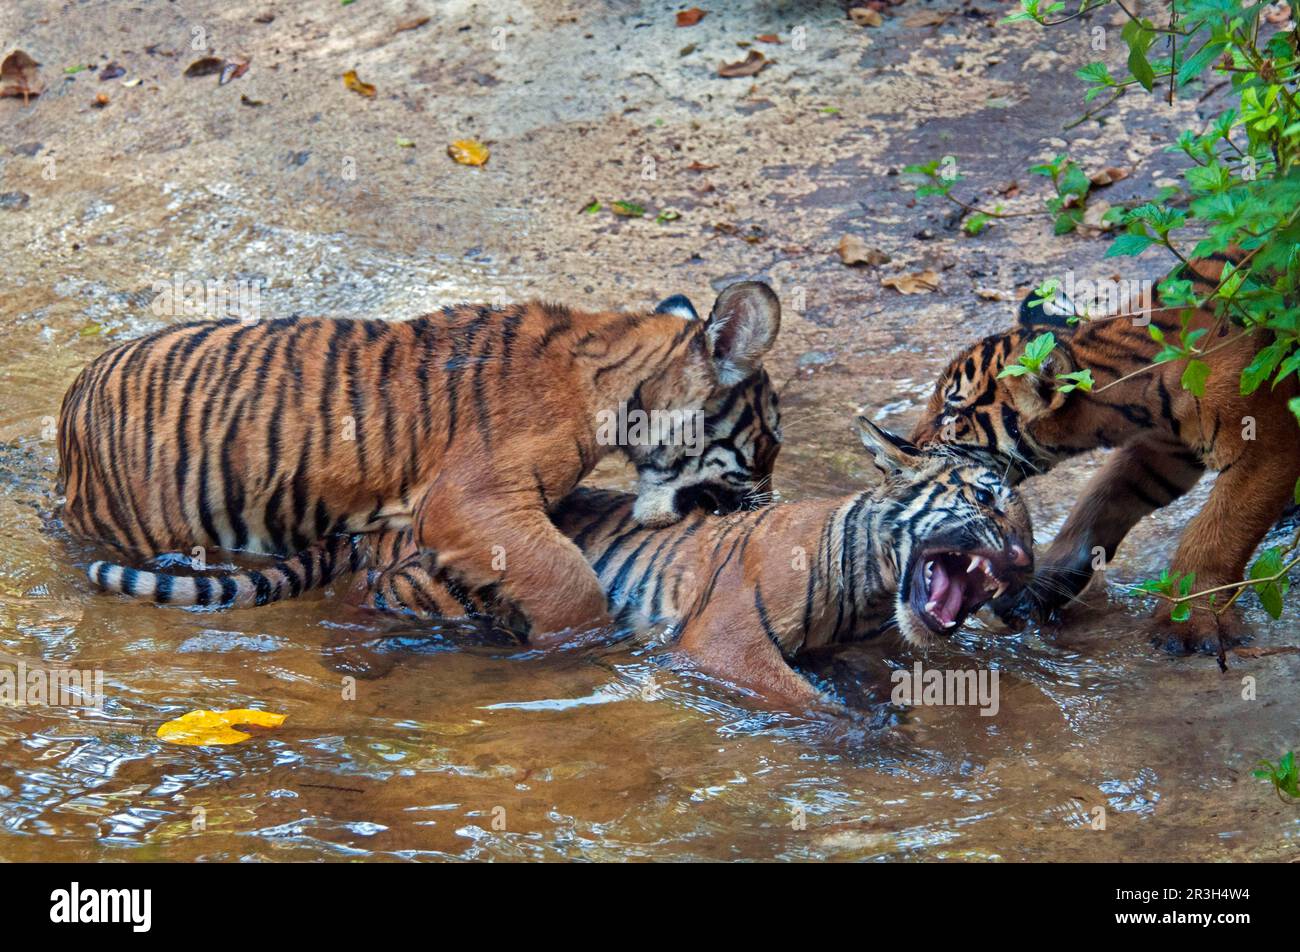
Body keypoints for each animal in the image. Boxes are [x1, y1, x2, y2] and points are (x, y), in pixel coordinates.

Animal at [55, 282, 774, 639]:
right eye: (770, 441)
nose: (768, 504)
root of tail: (74, 397)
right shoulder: (471, 502)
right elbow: (569, 584)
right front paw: (579, 649)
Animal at [91, 416, 1029, 712]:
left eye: (1020, 507)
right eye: (988, 499)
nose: (1021, 562)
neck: (870, 582)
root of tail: (374, 525)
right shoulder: (723, 643)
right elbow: (810, 703)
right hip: (429, 591)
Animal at [909, 251, 1300, 655]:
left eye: (950, 413)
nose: (908, 446)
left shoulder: (1267, 444)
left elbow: (1217, 533)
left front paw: (1186, 625)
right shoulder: (1162, 452)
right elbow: (1095, 505)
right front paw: (1034, 594)